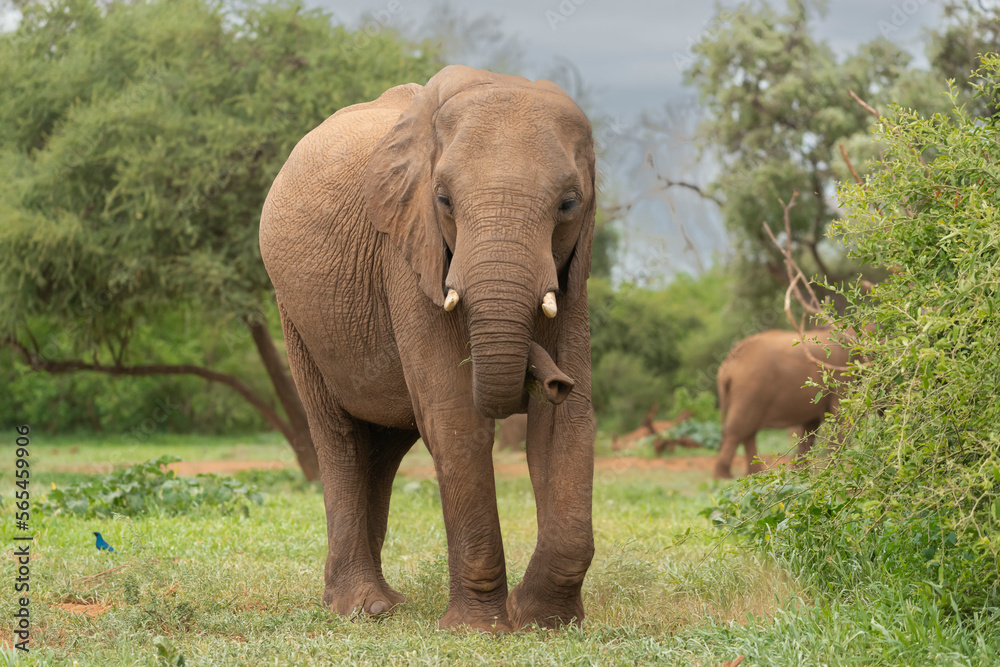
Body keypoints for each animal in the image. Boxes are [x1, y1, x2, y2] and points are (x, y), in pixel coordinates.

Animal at [258, 65, 597, 632]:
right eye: (443, 201)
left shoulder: (574, 270)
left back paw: (379, 603)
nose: (552, 379)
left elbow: (565, 424)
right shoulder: (407, 251)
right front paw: (481, 630)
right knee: (339, 438)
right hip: (295, 314)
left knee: (383, 446)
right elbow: (456, 418)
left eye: (569, 204)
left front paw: (539, 620)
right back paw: (364, 608)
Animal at [713, 327, 856, 479]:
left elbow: (810, 427)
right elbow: (840, 416)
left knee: (747, 431)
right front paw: (833, 473)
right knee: (739, 429)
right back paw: (725, 477)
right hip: (749, 388)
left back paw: (754, 474)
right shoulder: (841, 371)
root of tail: (728, 363)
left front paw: (800, 474)